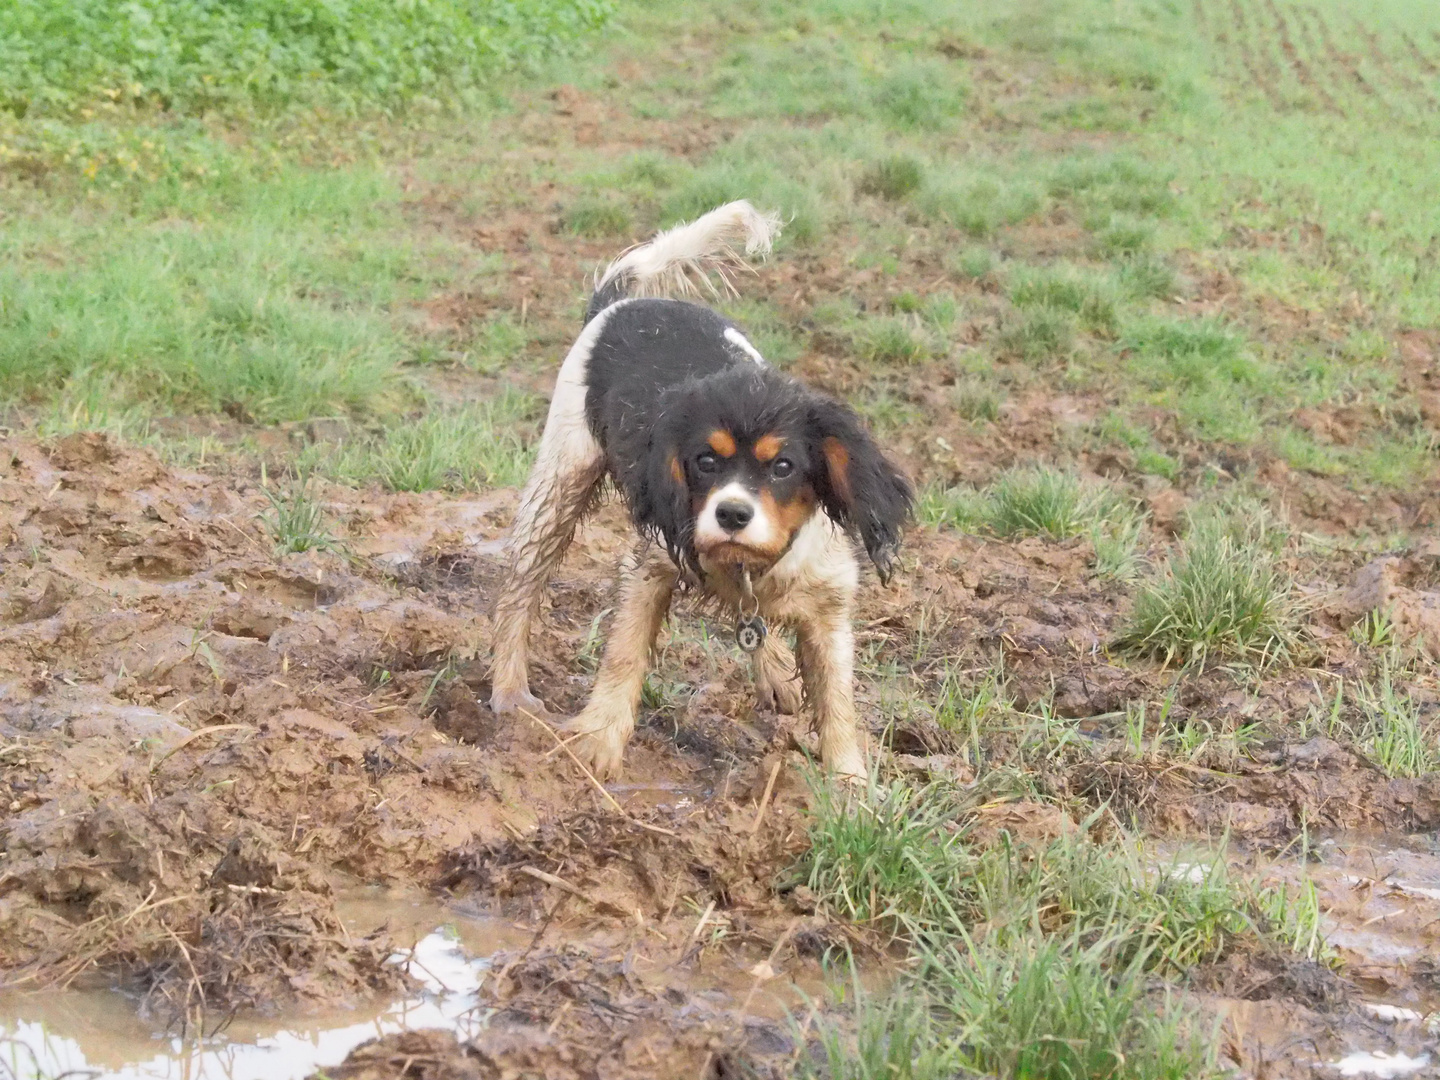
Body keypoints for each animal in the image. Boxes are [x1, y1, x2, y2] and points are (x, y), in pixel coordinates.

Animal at [483, 201, 910, 777]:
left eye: (783, 467)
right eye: (705, 462)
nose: (731, 514)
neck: (754, 564)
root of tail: (623, 302)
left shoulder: (829, 602)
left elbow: (837, 698)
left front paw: (848, 782)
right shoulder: (649, 567)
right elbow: (624, 654)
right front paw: (597, 743)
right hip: (560, 479)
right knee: (521, 589)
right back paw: (511, 693)